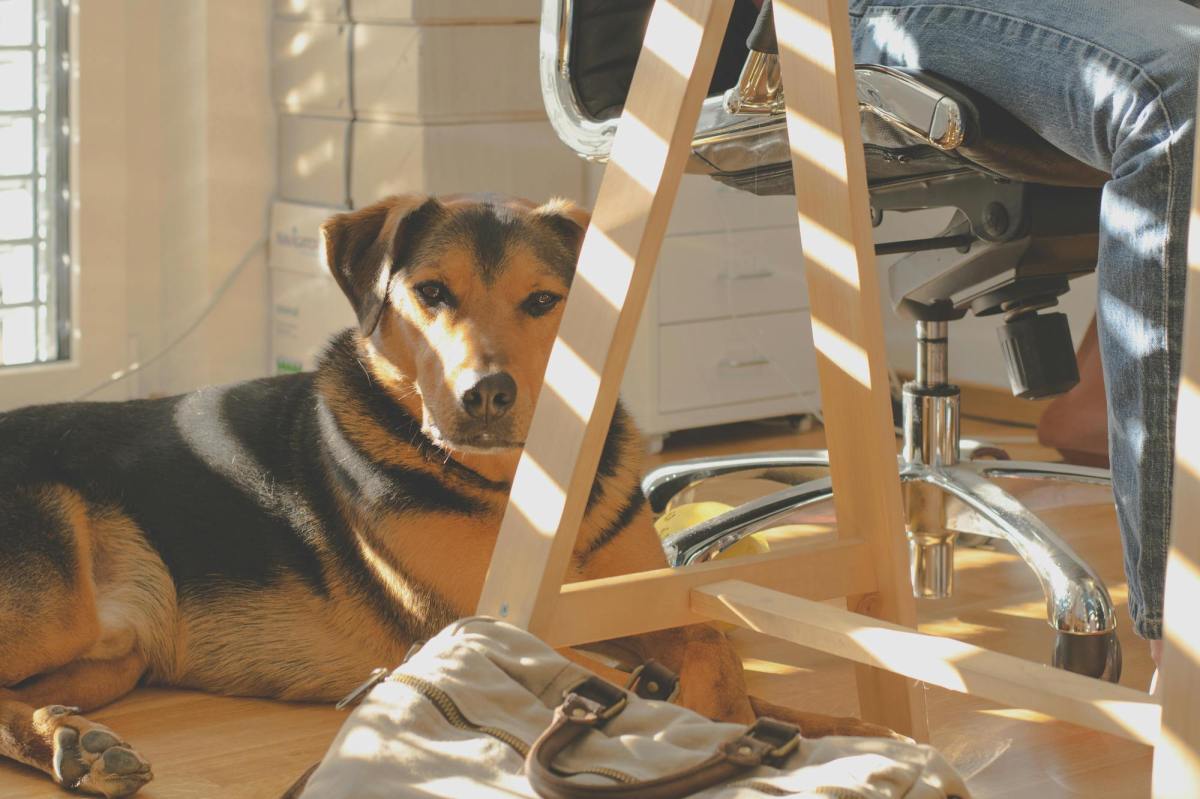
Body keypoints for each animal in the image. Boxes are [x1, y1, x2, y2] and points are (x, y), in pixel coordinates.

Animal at [0, 194, 883, 796]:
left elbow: (715, 642)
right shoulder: (479, 628)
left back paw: (76, 744)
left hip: (113, 654)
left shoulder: (638, 600)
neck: (520, 482)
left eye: (543, 300)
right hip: (58, 608)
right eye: (430, 292)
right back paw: (75, 748)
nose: (485, 394)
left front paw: (829, 726)